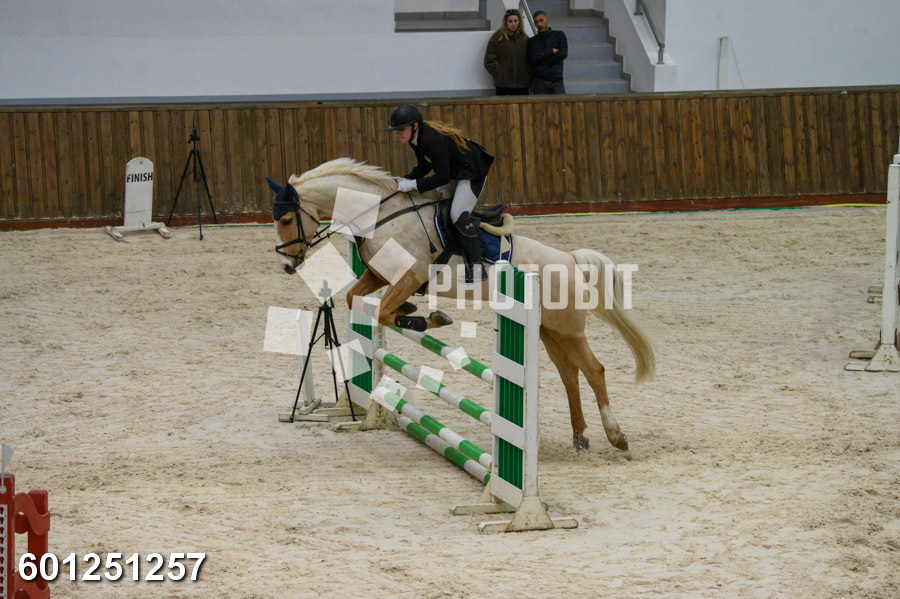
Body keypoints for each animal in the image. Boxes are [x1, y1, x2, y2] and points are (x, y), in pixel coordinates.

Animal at [269, 157, 655, 451]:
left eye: (286, 219)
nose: (287, 265)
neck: (379, 215)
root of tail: (571, 258)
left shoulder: (408, 277)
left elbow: (383, 311)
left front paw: (428, 318)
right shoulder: (379, 276)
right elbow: (357, 299)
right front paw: (411, 312)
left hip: (569, 329)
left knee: (593, 370)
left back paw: (615, 435)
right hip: (550, 331)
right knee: (569, 375)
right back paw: (580, 436)